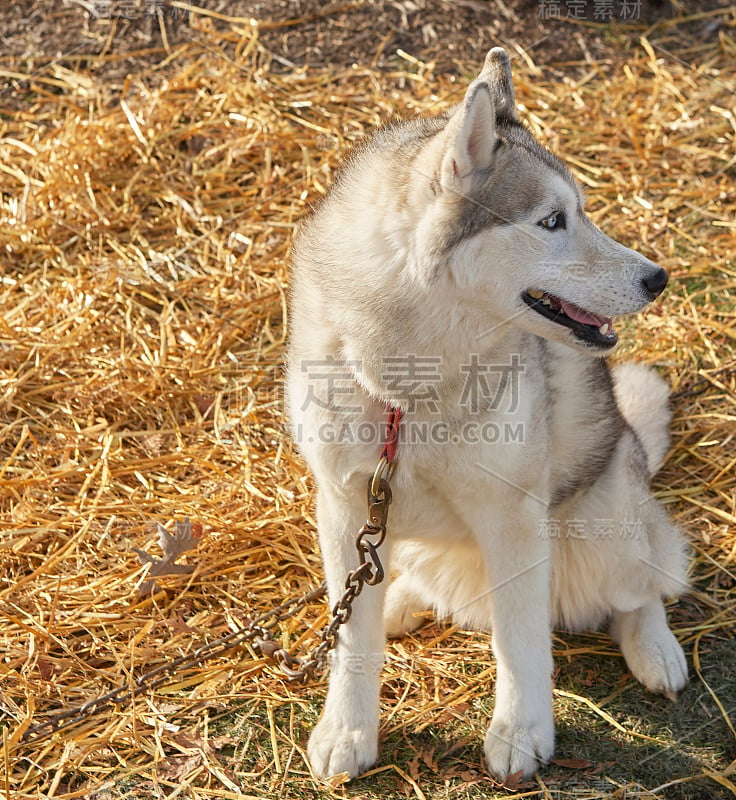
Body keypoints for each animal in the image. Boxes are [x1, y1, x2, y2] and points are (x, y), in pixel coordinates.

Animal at [284, 48, 688, 780]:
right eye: (551, 221)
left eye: (580, 211)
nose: (657, 278)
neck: (407, 389)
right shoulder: (347, 501)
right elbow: (353, 638)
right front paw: (348, 731)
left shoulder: (512, 513)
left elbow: (519, 640)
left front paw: (521, 734)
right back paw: (402, 600)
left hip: (604, 524)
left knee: (644, 583)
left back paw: (656, 650)